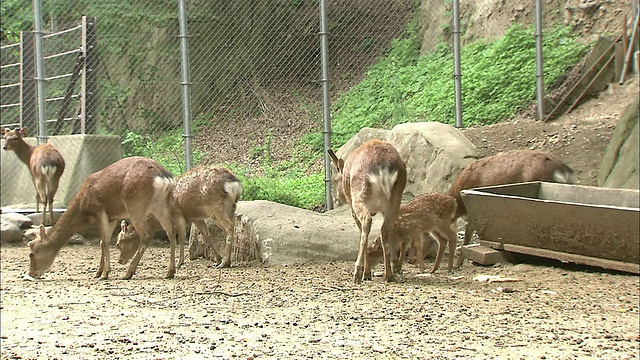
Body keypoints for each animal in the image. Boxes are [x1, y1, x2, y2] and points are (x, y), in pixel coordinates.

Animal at [26, 158, 179, 282]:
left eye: (31, 253)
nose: (31, 273)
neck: (83, 210)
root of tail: (163, 177)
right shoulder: (112, 217)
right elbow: (101, 242)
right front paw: (98, 272)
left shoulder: (99, 210)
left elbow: (104, 242)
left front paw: (105, 273)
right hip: (159, 205)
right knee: (170, 230)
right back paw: (170, 271)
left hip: (135, 204)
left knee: (146, 234)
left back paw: (128, 272)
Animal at [116, 165, 244, 268]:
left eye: (119, 243)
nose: (120, 261)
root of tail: (233, 183)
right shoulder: (196, 218)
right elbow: (206, 235)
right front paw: (217, 259)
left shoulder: (178, 215)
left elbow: (181, 237)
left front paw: (179, 262)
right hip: (231, 207)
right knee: (232, 224)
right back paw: (225, 261)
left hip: (215, 208)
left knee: (229, 226)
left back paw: (225, 262)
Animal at [328, 139, 408, 282]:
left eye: (335, 180)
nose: (336, 200)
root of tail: (383, 170)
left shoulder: (353, 208)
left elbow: (361, 232)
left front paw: (367, 273)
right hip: (395, 199)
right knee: (386, 229)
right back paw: (390, 274)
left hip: (359, 196)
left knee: (367, 222)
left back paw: (358, 273)